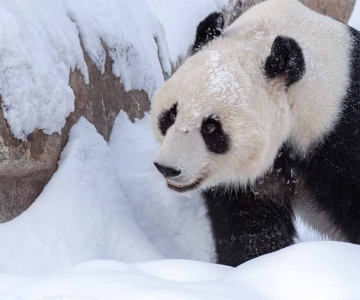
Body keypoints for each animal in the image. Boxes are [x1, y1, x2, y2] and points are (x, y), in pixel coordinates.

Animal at [150, 0, 360, 268]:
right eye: (171, 114)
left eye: (210, 127)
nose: (168, 168)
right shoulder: (249, 179)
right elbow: (249, 226)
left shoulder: (340, 130)